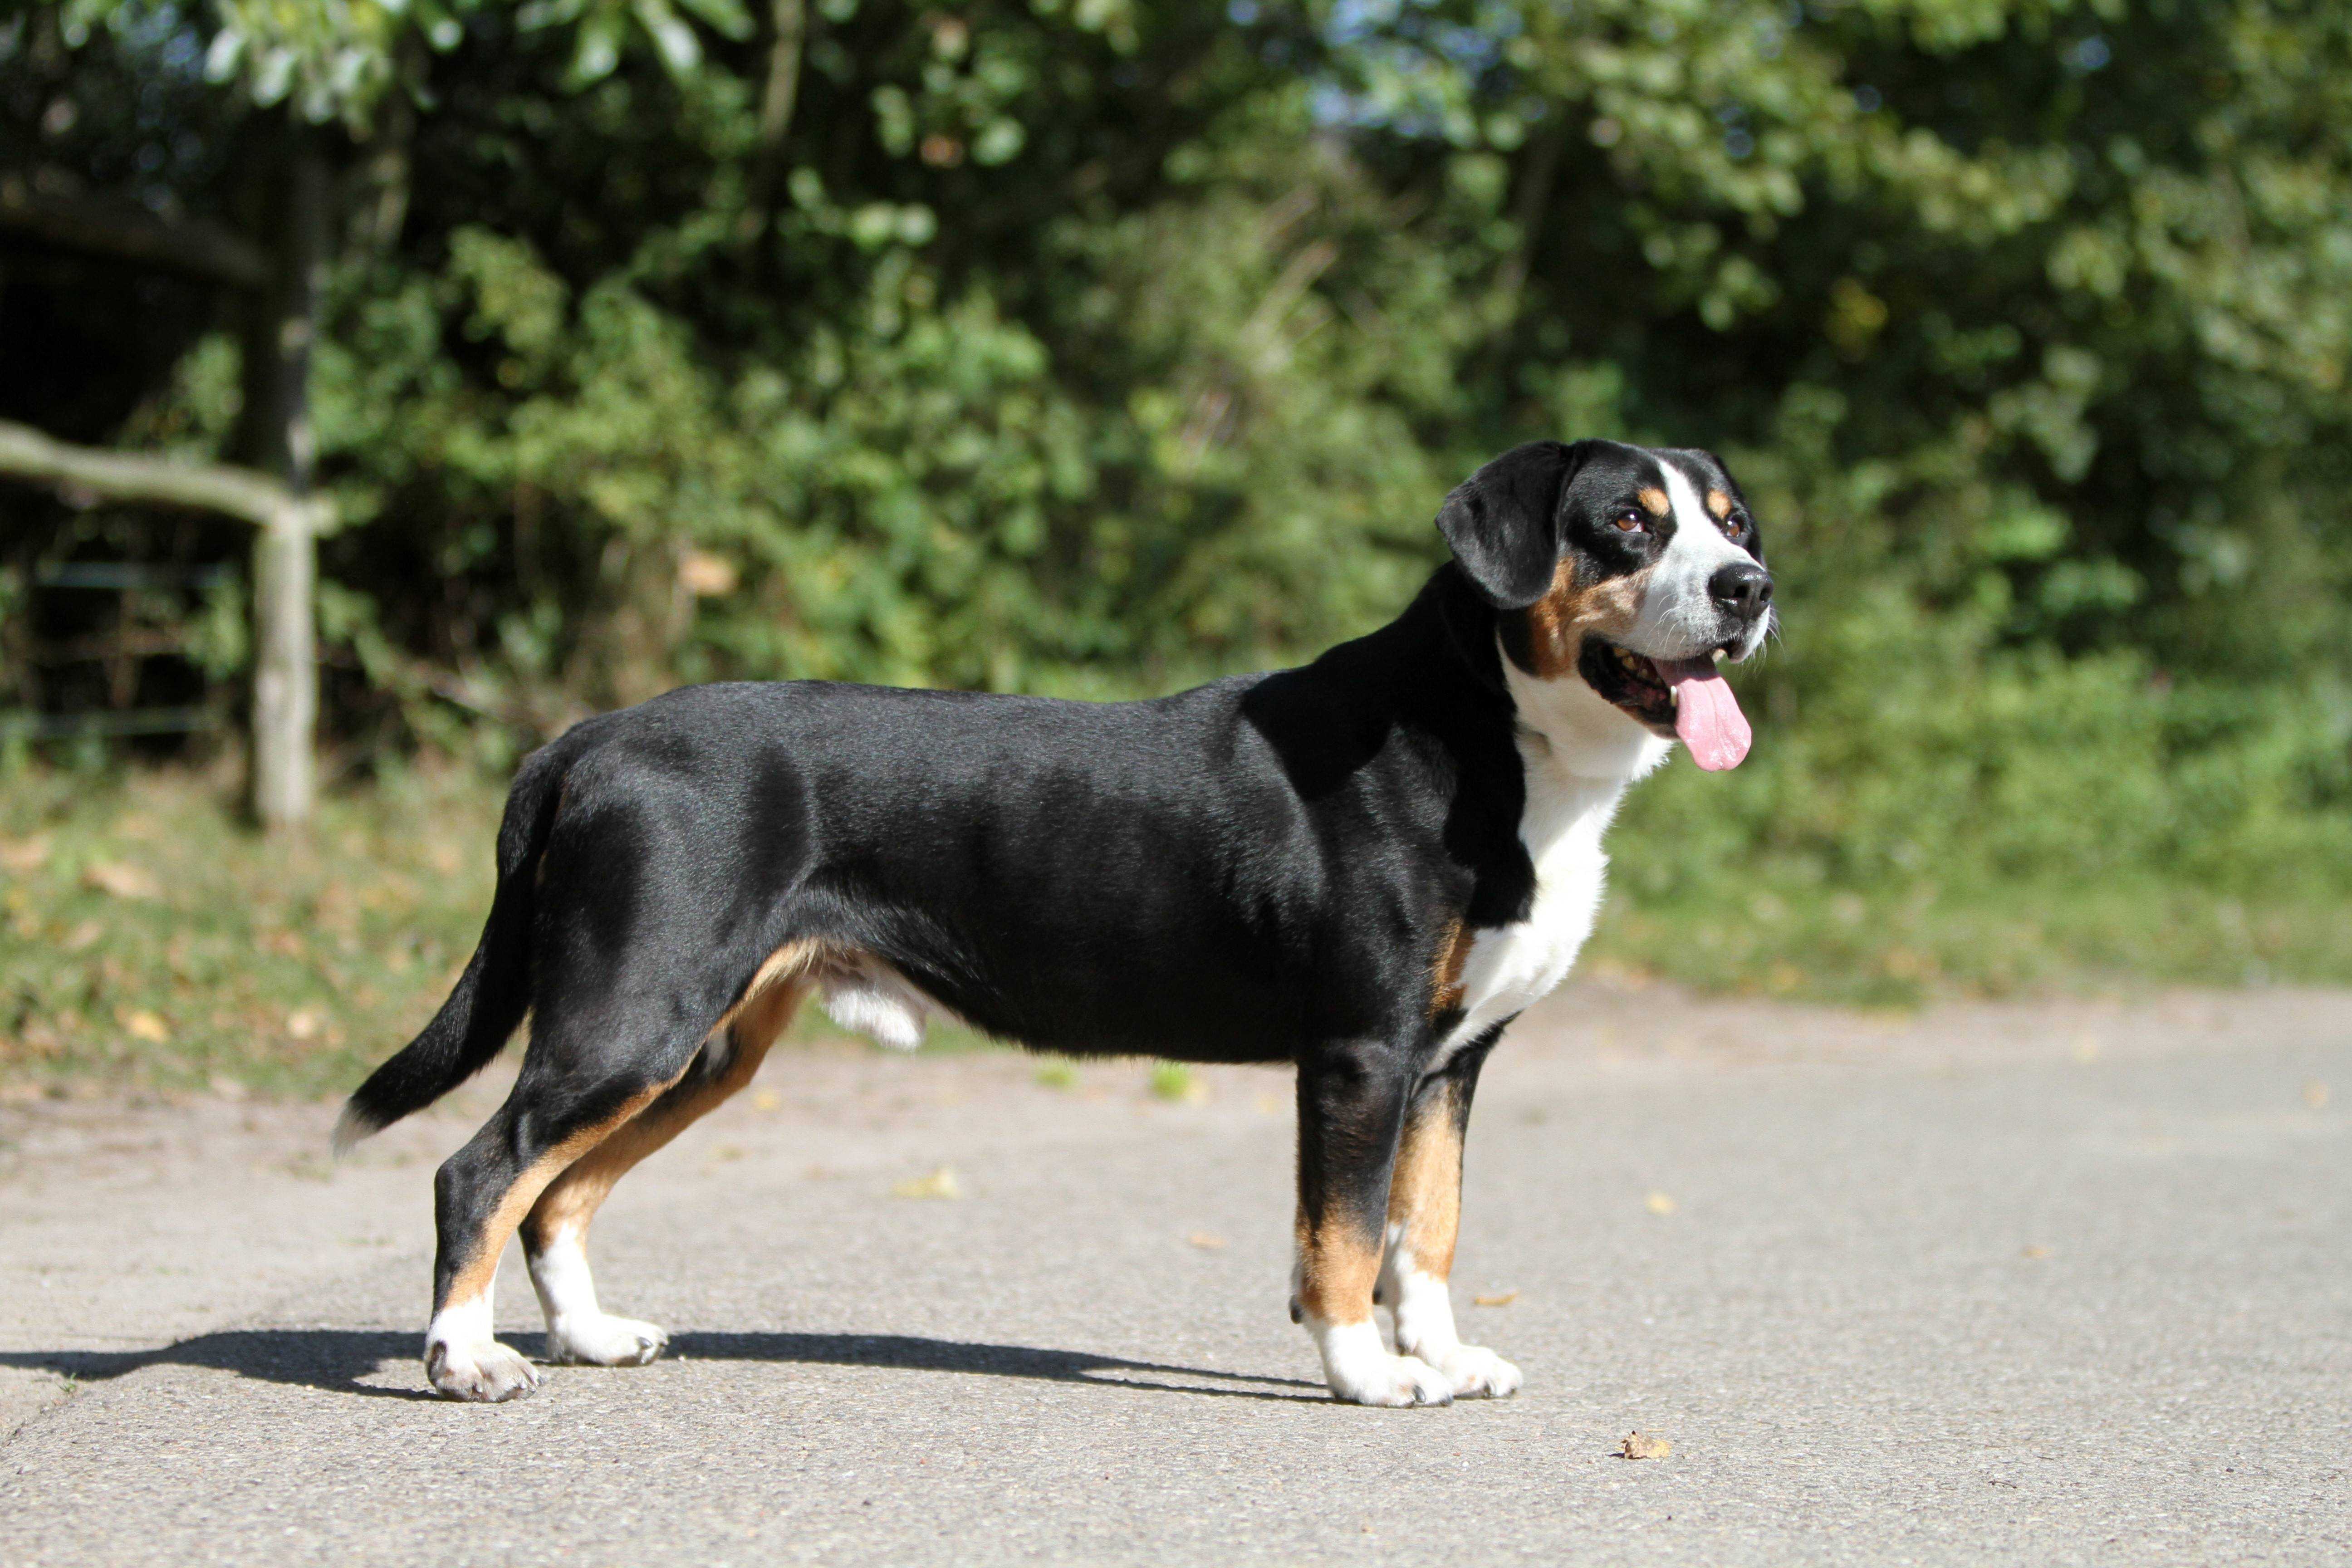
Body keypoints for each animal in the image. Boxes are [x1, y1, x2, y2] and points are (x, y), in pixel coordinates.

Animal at [331, 439, 1769, 1410]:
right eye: (1626, 526)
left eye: (1730, 521)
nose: (1748, 588)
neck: (1495, 739)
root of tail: (590, 736)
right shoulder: (1361, 1054)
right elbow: (1346, 1238)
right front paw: (1367, 1373)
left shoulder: (1449, 1064)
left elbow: (1428, 1233)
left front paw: (1446, 1355)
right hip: (635, 1010)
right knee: (482, 1169)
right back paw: (465, 1361)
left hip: (700, 1045)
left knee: (556, 1192)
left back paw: (590, 1336)